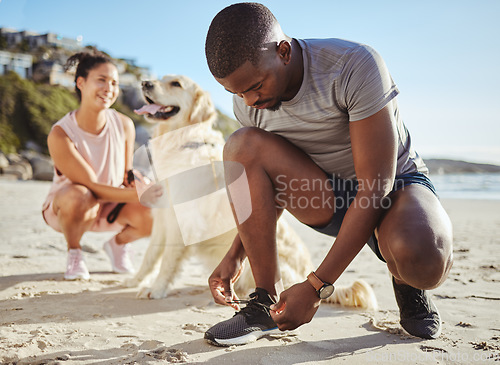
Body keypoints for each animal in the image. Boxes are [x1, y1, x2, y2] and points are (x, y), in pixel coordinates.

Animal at [127, 74, 376, 310]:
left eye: (176, 84)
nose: (145, 83)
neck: (181, 142)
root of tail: (311, 275)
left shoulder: (185, 220)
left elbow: (168, 260)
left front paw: (156, 289)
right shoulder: (163, 215)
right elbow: (151, 254)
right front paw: (136, 280)